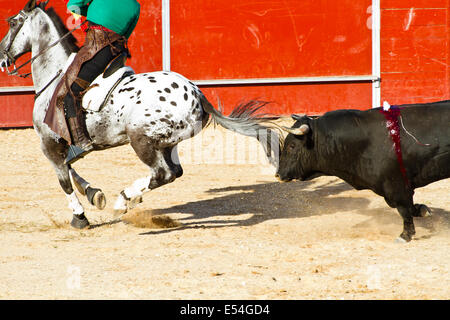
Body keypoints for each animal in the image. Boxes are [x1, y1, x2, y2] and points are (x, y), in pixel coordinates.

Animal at [0, 1, 282, 229]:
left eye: (12, 22)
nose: (2, 57)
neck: (54, 73)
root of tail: (197, 93)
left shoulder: (49, 143)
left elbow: (64, 180)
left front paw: (80, 217)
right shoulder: (66, 146)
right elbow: (71, 171)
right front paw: (95, 194)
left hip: (140, 140)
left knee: (163, 174)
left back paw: (123, 200)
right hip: (167, 143)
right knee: (173, 172)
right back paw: (128, 199)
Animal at [276, 100, 448, 242]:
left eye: (292, 146)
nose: (278, 175)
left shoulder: (396, 186)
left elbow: (404, 209)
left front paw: (405, 235)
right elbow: (409, 207)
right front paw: (423, 210)